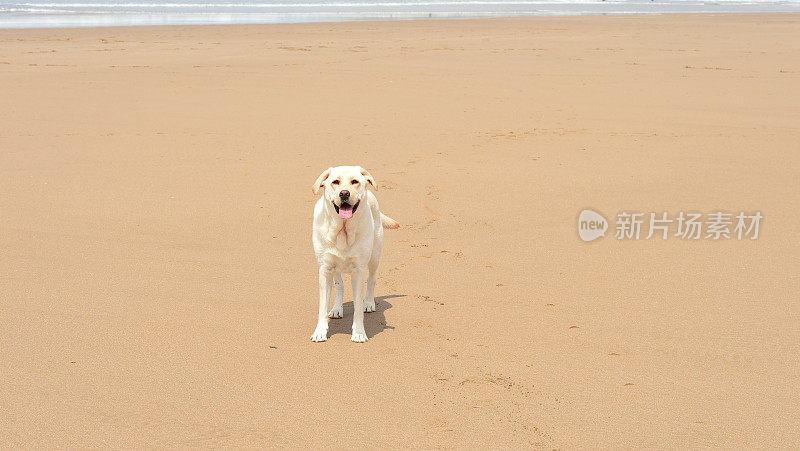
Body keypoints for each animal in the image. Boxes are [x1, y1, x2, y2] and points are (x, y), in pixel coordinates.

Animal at [312, 166, 400, 342]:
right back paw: (336, 308)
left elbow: (358, 307)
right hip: (334, 267)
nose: (344, 193)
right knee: (339, 284)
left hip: (375, 256)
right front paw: (320, 331)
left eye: (355, 181)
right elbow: (322, 306)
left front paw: (359, 332)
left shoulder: (358, 271)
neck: (343, 230)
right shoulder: (325, 270)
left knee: (372, 279)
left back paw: (369, 303)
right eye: (335, 182)